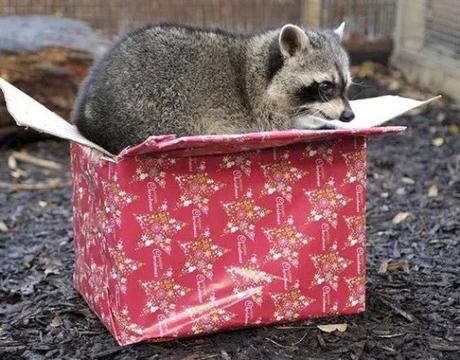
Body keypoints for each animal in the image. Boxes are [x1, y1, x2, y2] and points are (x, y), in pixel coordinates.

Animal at [74, 21, 352, 153]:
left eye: (345, 85)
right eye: (326, 86)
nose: (349, 115)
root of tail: (86, 114)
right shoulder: (259, 111)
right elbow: (280, 126)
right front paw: (312, 124)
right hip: (156, 109)